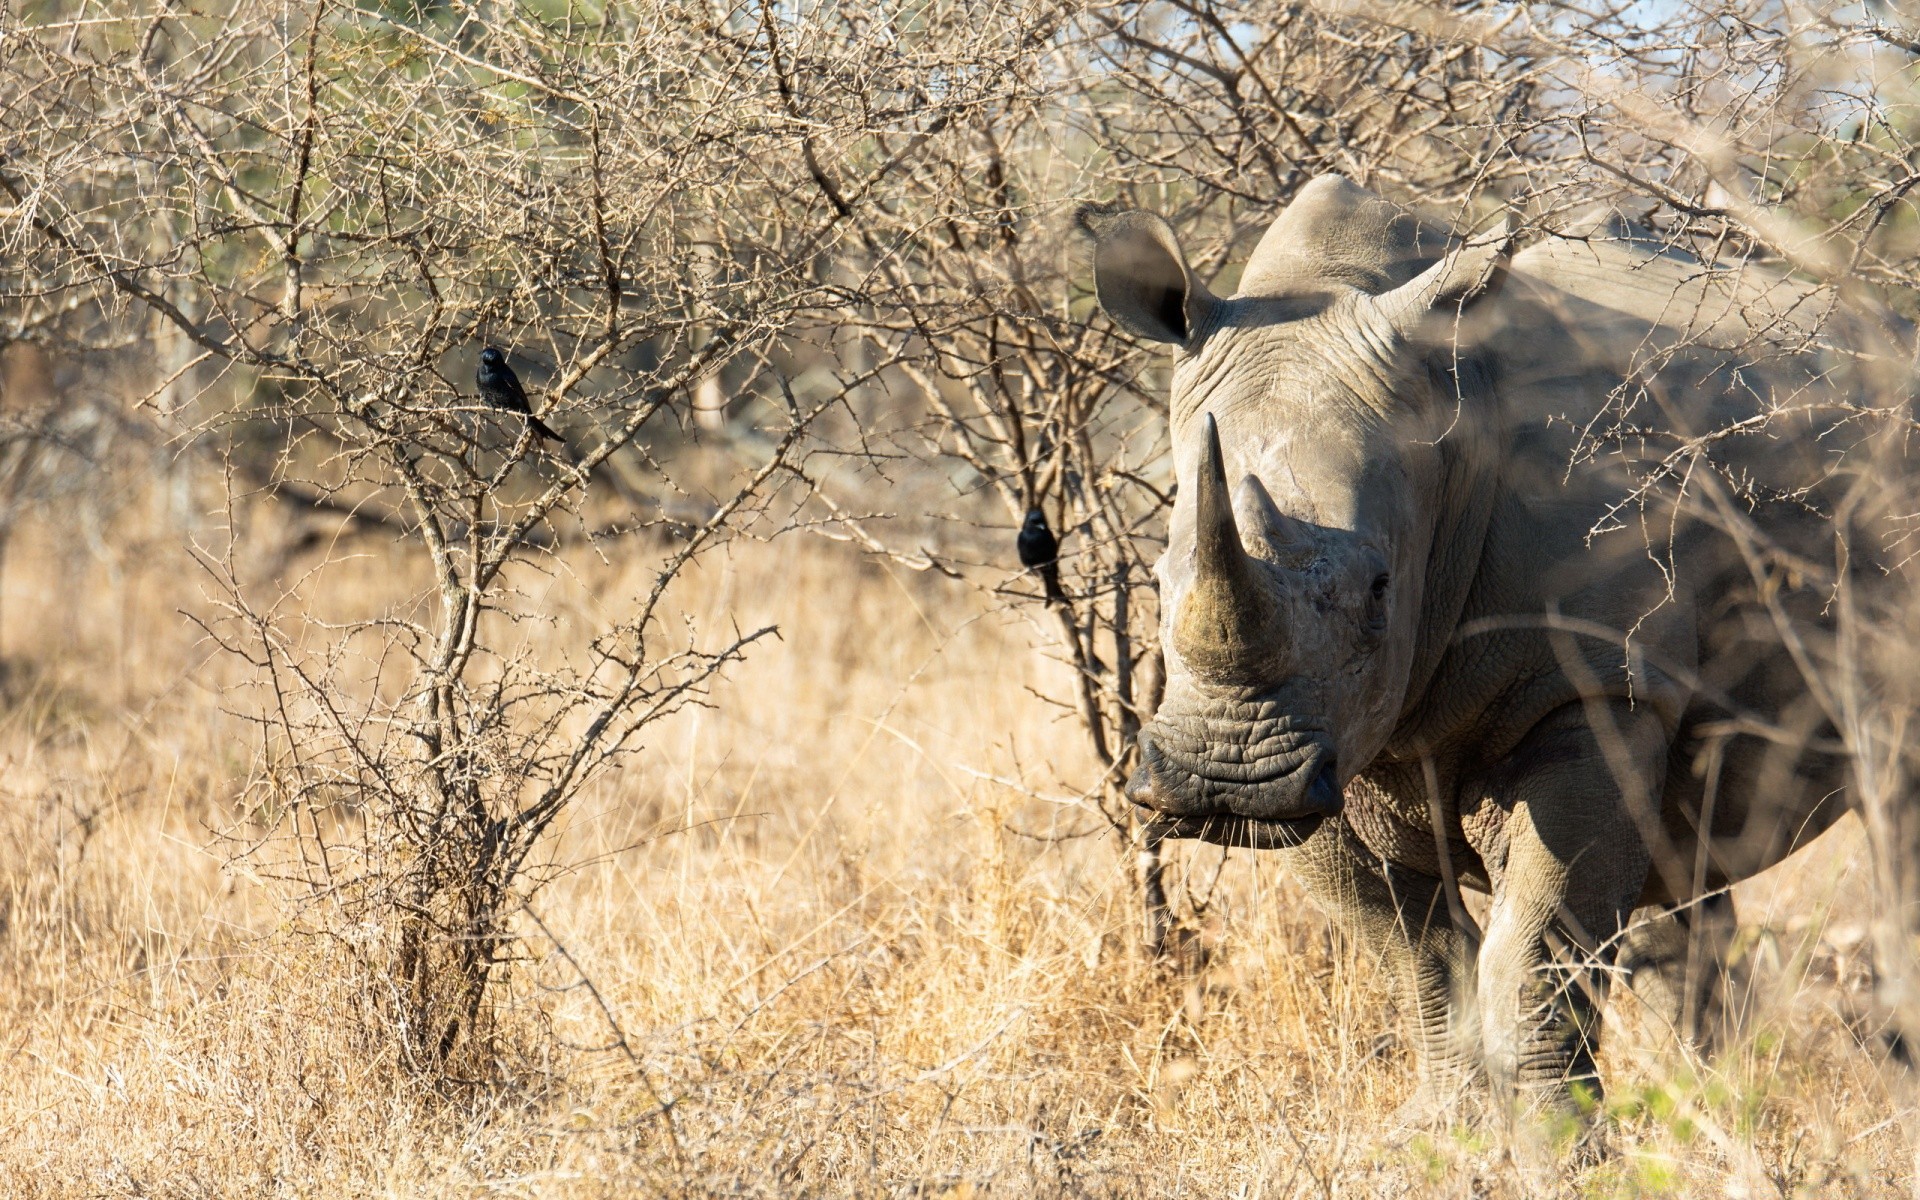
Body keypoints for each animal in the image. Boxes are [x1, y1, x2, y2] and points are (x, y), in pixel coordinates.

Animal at [1082, 175, 1904, 1113]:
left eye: (1380, 589)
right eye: (1155, 578)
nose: (1225, 780)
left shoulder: (1592, 687)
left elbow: (1532, 959)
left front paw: (1559, 1138)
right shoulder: (1322, 750)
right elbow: (1419, 961)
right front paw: (1450, 1127)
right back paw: (1713, 1102)